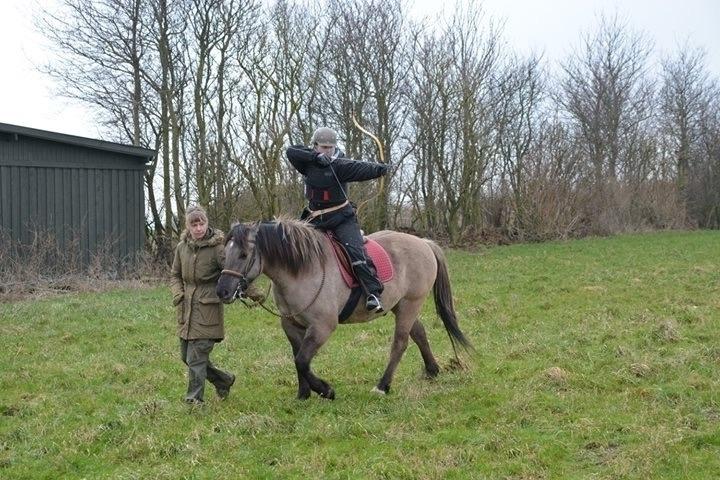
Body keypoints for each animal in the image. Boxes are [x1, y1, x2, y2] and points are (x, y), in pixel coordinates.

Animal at [215, 217, 472, 398]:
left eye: (244, 254)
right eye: (224, 253)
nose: (223, 291)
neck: (302, 270)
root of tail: (424, 243)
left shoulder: (322, 327)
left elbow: (302, 360)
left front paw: (325, 390)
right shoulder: (291, 325)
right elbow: (298, 358)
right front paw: (303, 394)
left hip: (411, 303)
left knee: (400, 343)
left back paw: (382, 386)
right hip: (401, 305)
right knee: (418, 333)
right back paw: (432, 370)